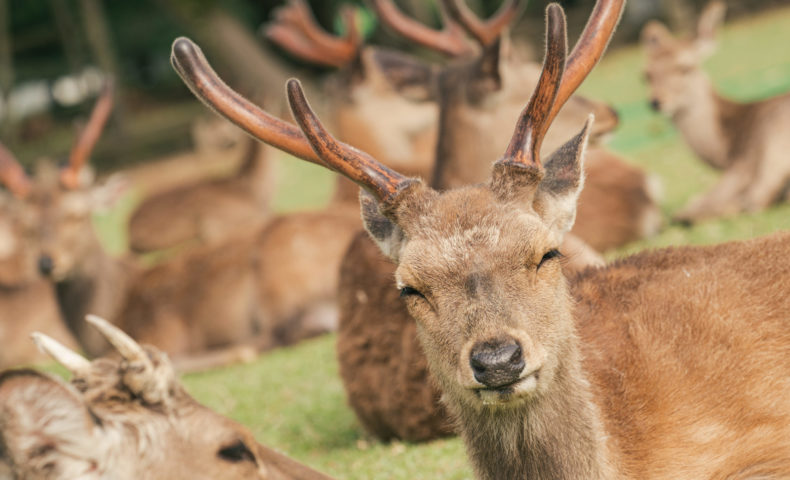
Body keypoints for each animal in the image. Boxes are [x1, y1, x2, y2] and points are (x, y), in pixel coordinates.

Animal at [644, 0, 790, 223]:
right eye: (646, 75)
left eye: (685, 68)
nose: (656, 102)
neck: (724, 152)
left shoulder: (743, 164)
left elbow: (693, 202)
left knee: (753, 200)